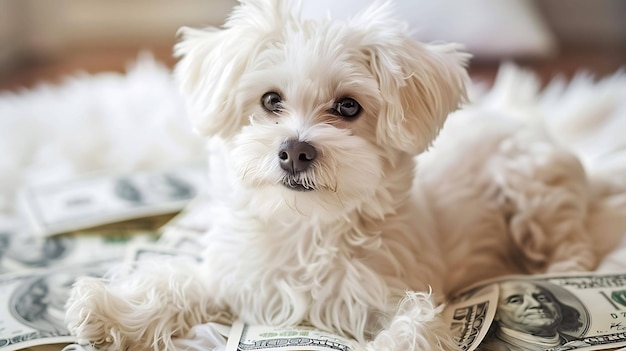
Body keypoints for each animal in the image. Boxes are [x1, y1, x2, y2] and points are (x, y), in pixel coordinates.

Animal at [64, 1, 596, 350]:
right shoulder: (240, 279)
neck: (308, 228)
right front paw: (109, 313)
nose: (294, 151)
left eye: (348, 107)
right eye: (270, 100)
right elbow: (178, 284)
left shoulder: (402, 297)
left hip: (533, 190)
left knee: (570, 238)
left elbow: (414, 329)